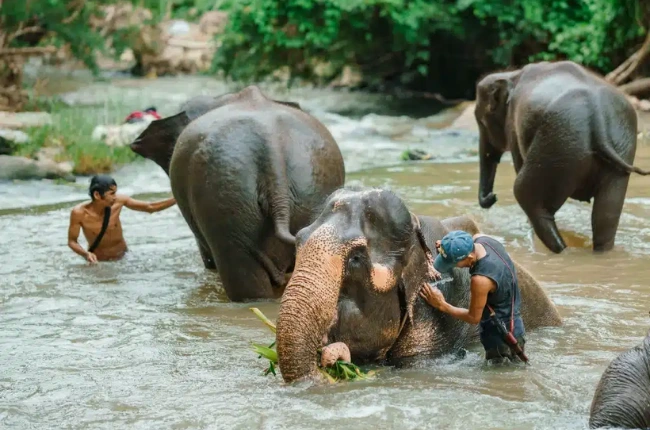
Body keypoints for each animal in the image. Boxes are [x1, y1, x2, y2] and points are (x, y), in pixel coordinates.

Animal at [475, 60, 650, 254]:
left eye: (481, 121)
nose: (493, 197)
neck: (511, 74)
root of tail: (596, 112)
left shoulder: (513, 126)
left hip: (557, 144)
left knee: (526, 195)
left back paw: (558, 248)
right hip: (616, 146)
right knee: (606, 214)